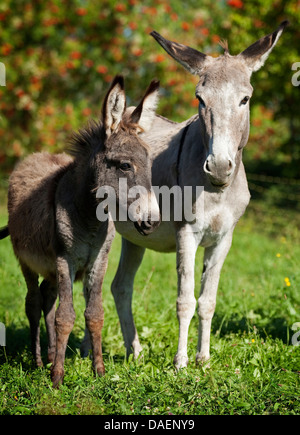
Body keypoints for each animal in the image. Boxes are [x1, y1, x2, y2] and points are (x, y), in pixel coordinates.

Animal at [3, 76, 161, 388]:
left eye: (150, 166)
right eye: (125, 165)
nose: (152, 221)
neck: (89, 216)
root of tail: (33, 157)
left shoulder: (98, 260)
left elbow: (94, 314)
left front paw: (98, 371)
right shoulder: (65, 259)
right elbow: (66, 317)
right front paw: (57, 379)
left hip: (51, 270)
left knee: (48, 299)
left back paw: (51, 355)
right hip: (26, 261)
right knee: (34, 302)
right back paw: (39, 360)